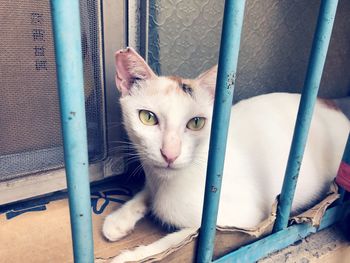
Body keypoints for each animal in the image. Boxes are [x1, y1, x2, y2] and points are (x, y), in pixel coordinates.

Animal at [102, 46, 348, 262]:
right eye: (148, 117)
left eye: (196, 122)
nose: (170, 154)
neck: (165, 184)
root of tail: (329, 103)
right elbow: (144, 194)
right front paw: (118, 219)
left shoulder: (242, 219)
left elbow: (180, 239)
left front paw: (134, 256)